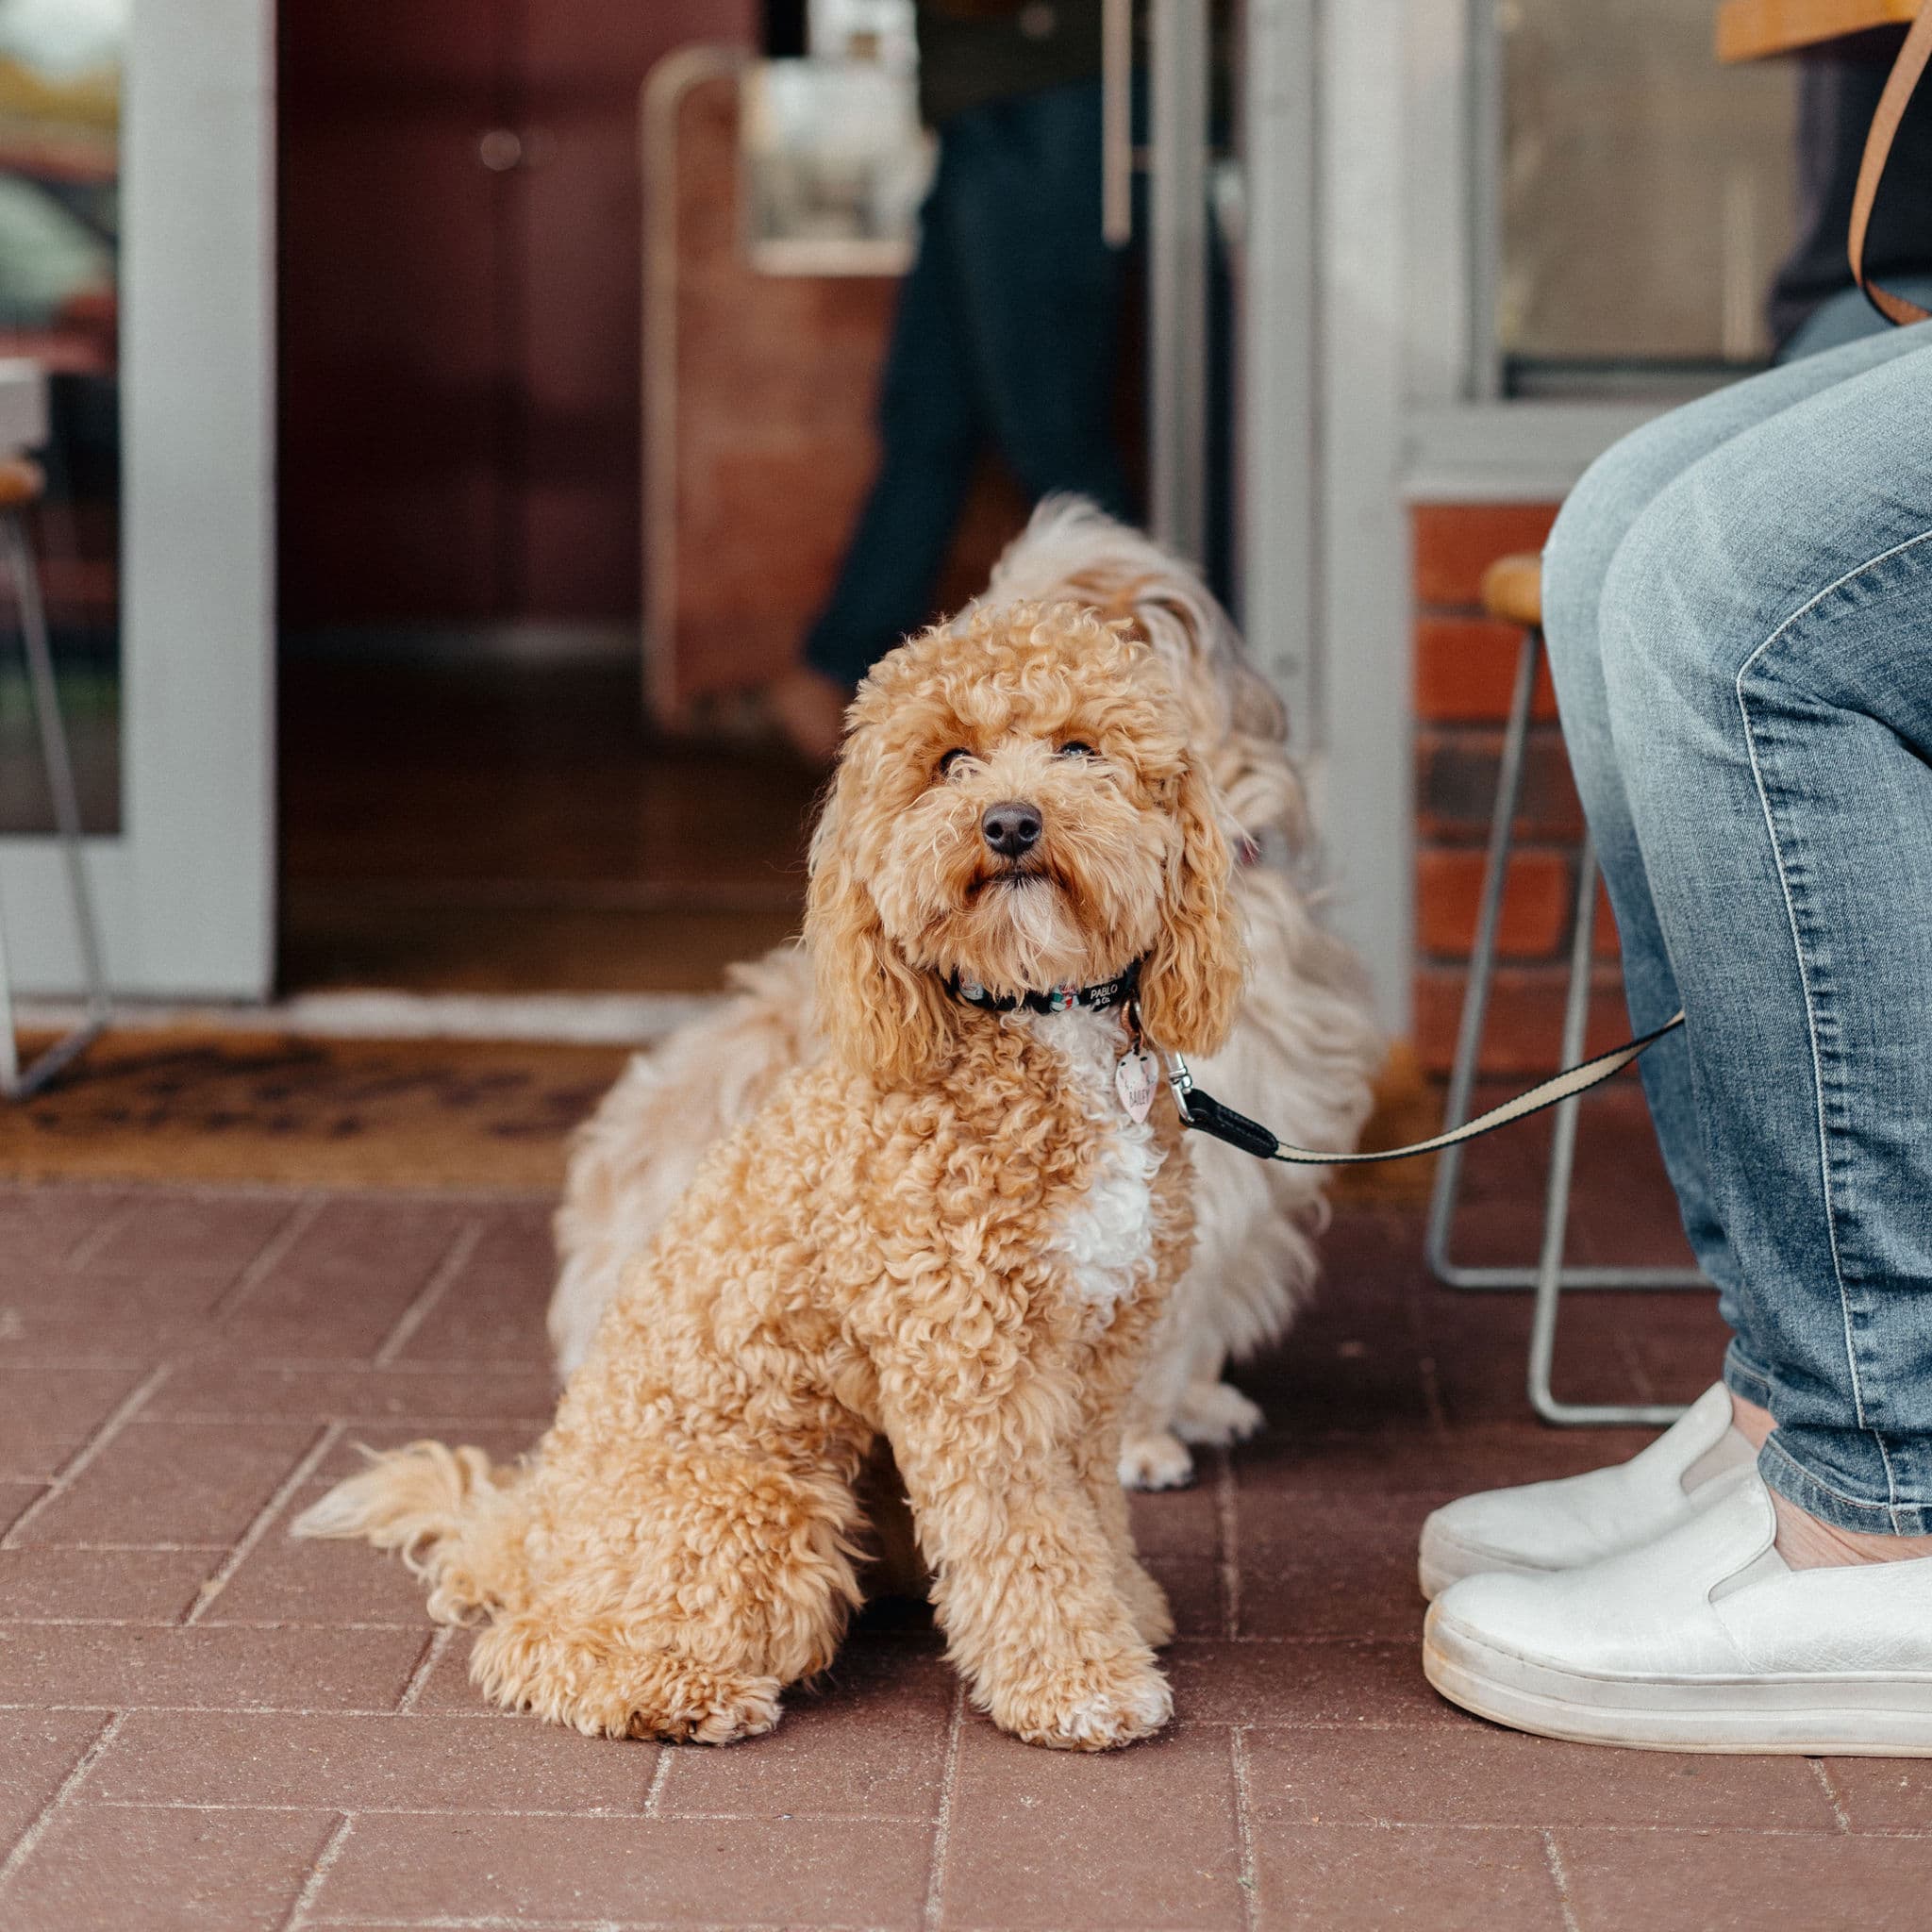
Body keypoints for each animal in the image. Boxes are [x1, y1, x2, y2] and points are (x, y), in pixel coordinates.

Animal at [293, 602, 1243, 1754]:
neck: (1040, 1023)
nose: (1010, 823)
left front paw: (1127, 1611)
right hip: (764, 1514)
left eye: (1078, 748)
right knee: (541, 1646)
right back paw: (684, 1695)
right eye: (950, 761)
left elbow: (1090, 1510)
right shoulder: (975, 1367)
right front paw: (1079, 1682)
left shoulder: (1098, 1356)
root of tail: (531, 1527)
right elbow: (1028, 1532)